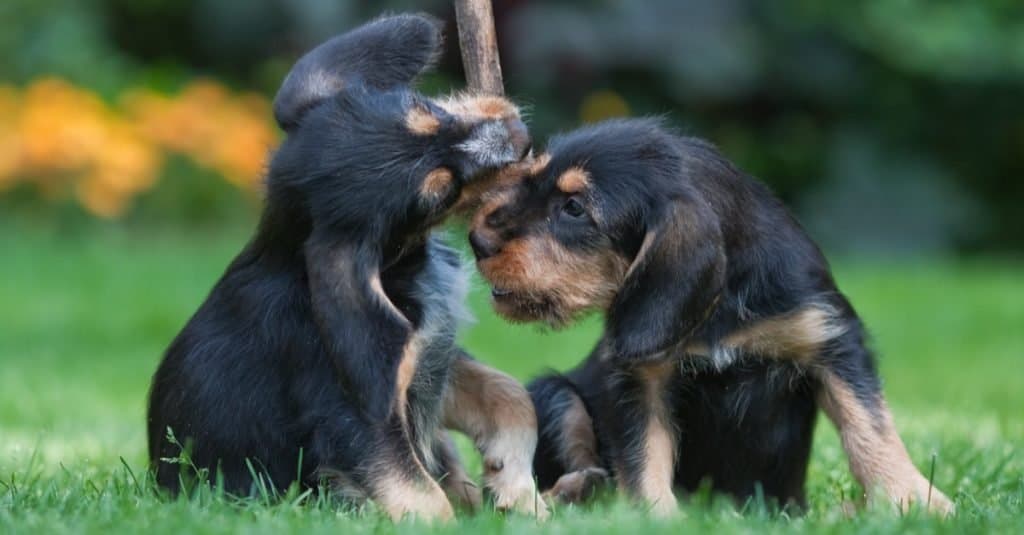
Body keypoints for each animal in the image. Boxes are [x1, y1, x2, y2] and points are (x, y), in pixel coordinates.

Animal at [148, 14, 548, 518]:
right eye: (439, 193)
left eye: (424, 107)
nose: (521, 136)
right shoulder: (355, 416)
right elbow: (419, 496)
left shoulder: (429, 362)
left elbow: (510, 394)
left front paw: (515, 485)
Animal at [468, 118, 954, 514]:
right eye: (529, 180)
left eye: (573, 207)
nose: (477, 240)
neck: (721, 305)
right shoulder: (640, 376)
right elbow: (644, 450)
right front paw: (656, 516)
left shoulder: (831, 338)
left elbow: (869, 425)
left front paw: (912, 498)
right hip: (554, 393)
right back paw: (577, 492)